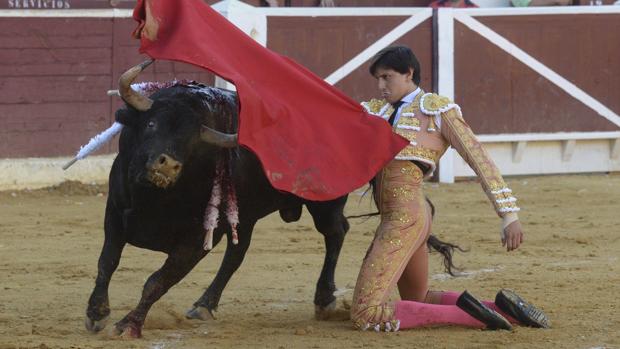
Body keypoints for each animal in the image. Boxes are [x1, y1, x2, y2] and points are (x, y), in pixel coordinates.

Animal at [85, 61, 352, 336]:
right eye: (151, 124)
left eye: (192, 141)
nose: (168, 165)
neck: (154, 198)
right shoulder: (115, 213)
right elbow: (107, 262)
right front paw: (97, 313)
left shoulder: (196, 241)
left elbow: (158, 281)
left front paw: (129, 324)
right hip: (246, 216)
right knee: (236, 254)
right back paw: (205, 305)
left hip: (325, 206)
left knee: (336, 233)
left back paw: (324, 299)